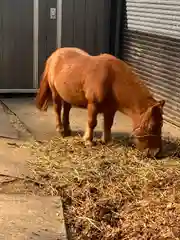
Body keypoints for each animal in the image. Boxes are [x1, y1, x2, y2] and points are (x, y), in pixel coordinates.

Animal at [35, 47, 165, 158]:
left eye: (161, 124)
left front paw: (107, 141)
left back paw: (67, 130)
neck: (112, 79)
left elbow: (108, 124)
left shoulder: (111, 109)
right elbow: (92, 122)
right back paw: (60, 129)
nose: (156, 152)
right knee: (57, 109)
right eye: (152, 126)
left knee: (66, 109)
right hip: (55, 93)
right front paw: (88, 141)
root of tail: (54, 55)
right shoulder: (93, 104)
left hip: (67, 94)